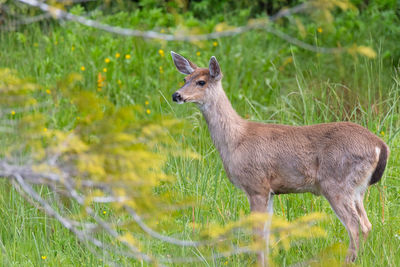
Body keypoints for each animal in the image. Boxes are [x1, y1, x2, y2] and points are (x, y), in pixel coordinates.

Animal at [170, 51, 390, 264]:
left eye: (201, 82)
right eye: (185, 78)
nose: (176, 95)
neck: (235, 140)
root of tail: (380, 145)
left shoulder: (256, 184)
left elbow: (258, 235)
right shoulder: (271, 191)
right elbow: (266, 234)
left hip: (336, 182)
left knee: (354, 225)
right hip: (358, 188)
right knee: (367, 224)